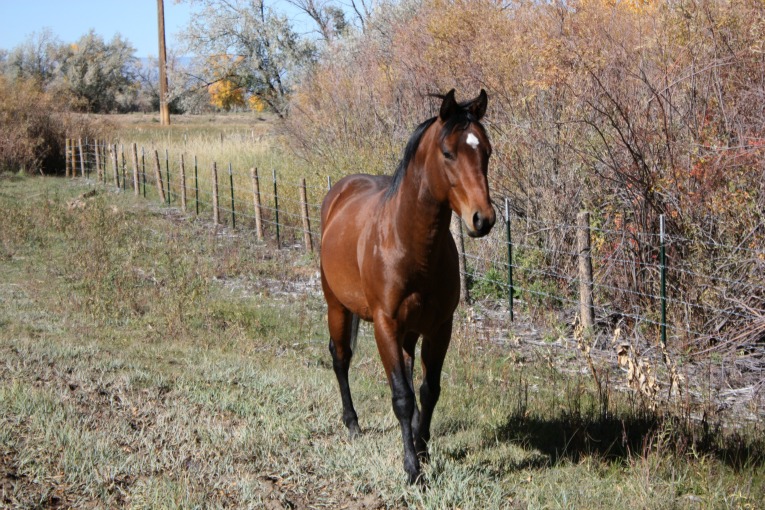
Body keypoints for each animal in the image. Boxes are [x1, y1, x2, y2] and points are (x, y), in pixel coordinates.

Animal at [318, 89, 492, 484]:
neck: (407, 243)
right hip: (337, 306)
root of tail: (340, 191)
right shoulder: (386, 325)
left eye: (487, 151)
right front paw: (412, 470)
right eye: (448, 153)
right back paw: (352, 424)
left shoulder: (440, 327)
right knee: (340, 357)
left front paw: (423, 450)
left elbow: (428, 391)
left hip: (410, 331)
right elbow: (401, 396)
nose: (483, 219)